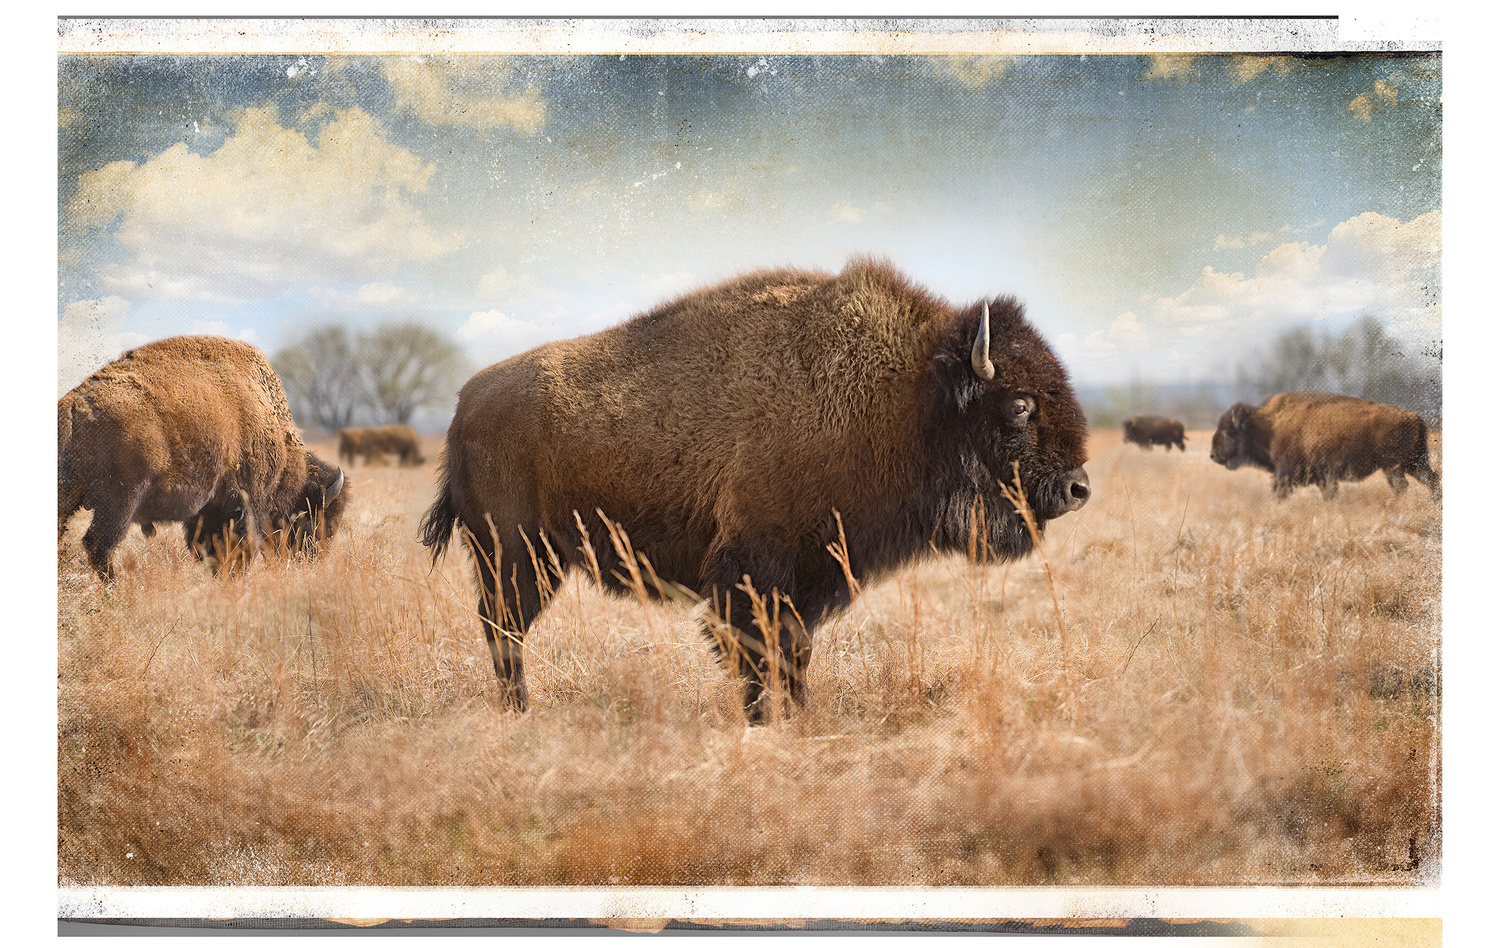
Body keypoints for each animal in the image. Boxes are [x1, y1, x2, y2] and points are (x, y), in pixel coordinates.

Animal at [58, 335, 349, 579]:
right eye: (317, 519)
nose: (311, 560)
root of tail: (73, 405)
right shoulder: (245, 501)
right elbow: (240, 545)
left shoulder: (208, 511)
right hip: (120, 500)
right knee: (99, 544)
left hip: (70, 496)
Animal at [420, 259, 1091, 722]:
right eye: (1020, 404)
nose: (1078, 487)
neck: (907, 396)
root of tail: (462, 407)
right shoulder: (755, 570)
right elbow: (763, 649)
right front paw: (769, 719)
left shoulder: (810, 576)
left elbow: (793, 649)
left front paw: (793, 715)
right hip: (516, 555)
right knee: (504, 628)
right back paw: (519, 712)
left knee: (504, 629)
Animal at [1209, 390, 1440, 501]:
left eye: (1227, 432)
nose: (1213, 455)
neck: (1269, 425)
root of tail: (1414, 416)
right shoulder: (1324, 478)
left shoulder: (1284, 475)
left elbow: (1278, 494)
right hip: (1413, 463)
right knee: (1432, 478)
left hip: (1393, 467)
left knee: (1402, 486)